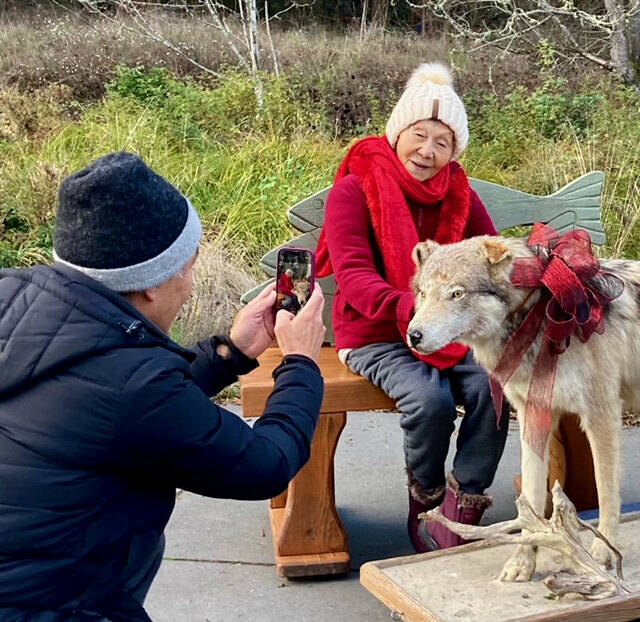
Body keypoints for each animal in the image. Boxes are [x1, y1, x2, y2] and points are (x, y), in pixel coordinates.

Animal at [406, 233, 640, 581]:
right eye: (423, 292)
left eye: (457, 293)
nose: (414, 335)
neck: (541, 313)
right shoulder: (535, 415)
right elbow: (531, 496)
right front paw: (523, 562)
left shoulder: (602, 415)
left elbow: (606, 491)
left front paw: (604, 552)